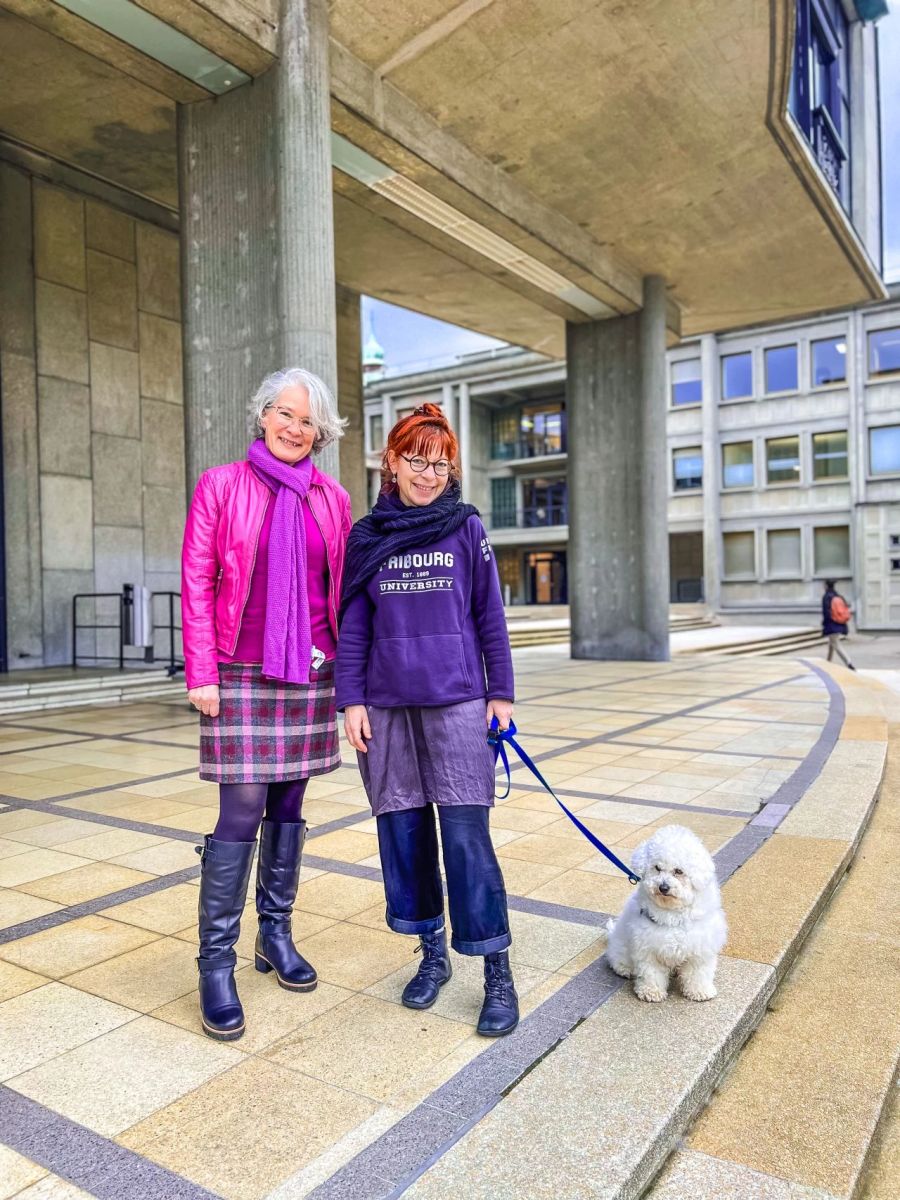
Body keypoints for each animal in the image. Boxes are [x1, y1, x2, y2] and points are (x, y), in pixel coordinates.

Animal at [602, 825, 729, 1003]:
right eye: (657, 868)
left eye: (679, 871)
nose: (663, 887)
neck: (671, 911)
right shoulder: (648, 947)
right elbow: (651, 973)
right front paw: (651, 991)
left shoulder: (701, 947)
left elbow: (698, 972)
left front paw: (700, 991)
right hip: (622, 947)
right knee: (617, 958)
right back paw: (625, 968)